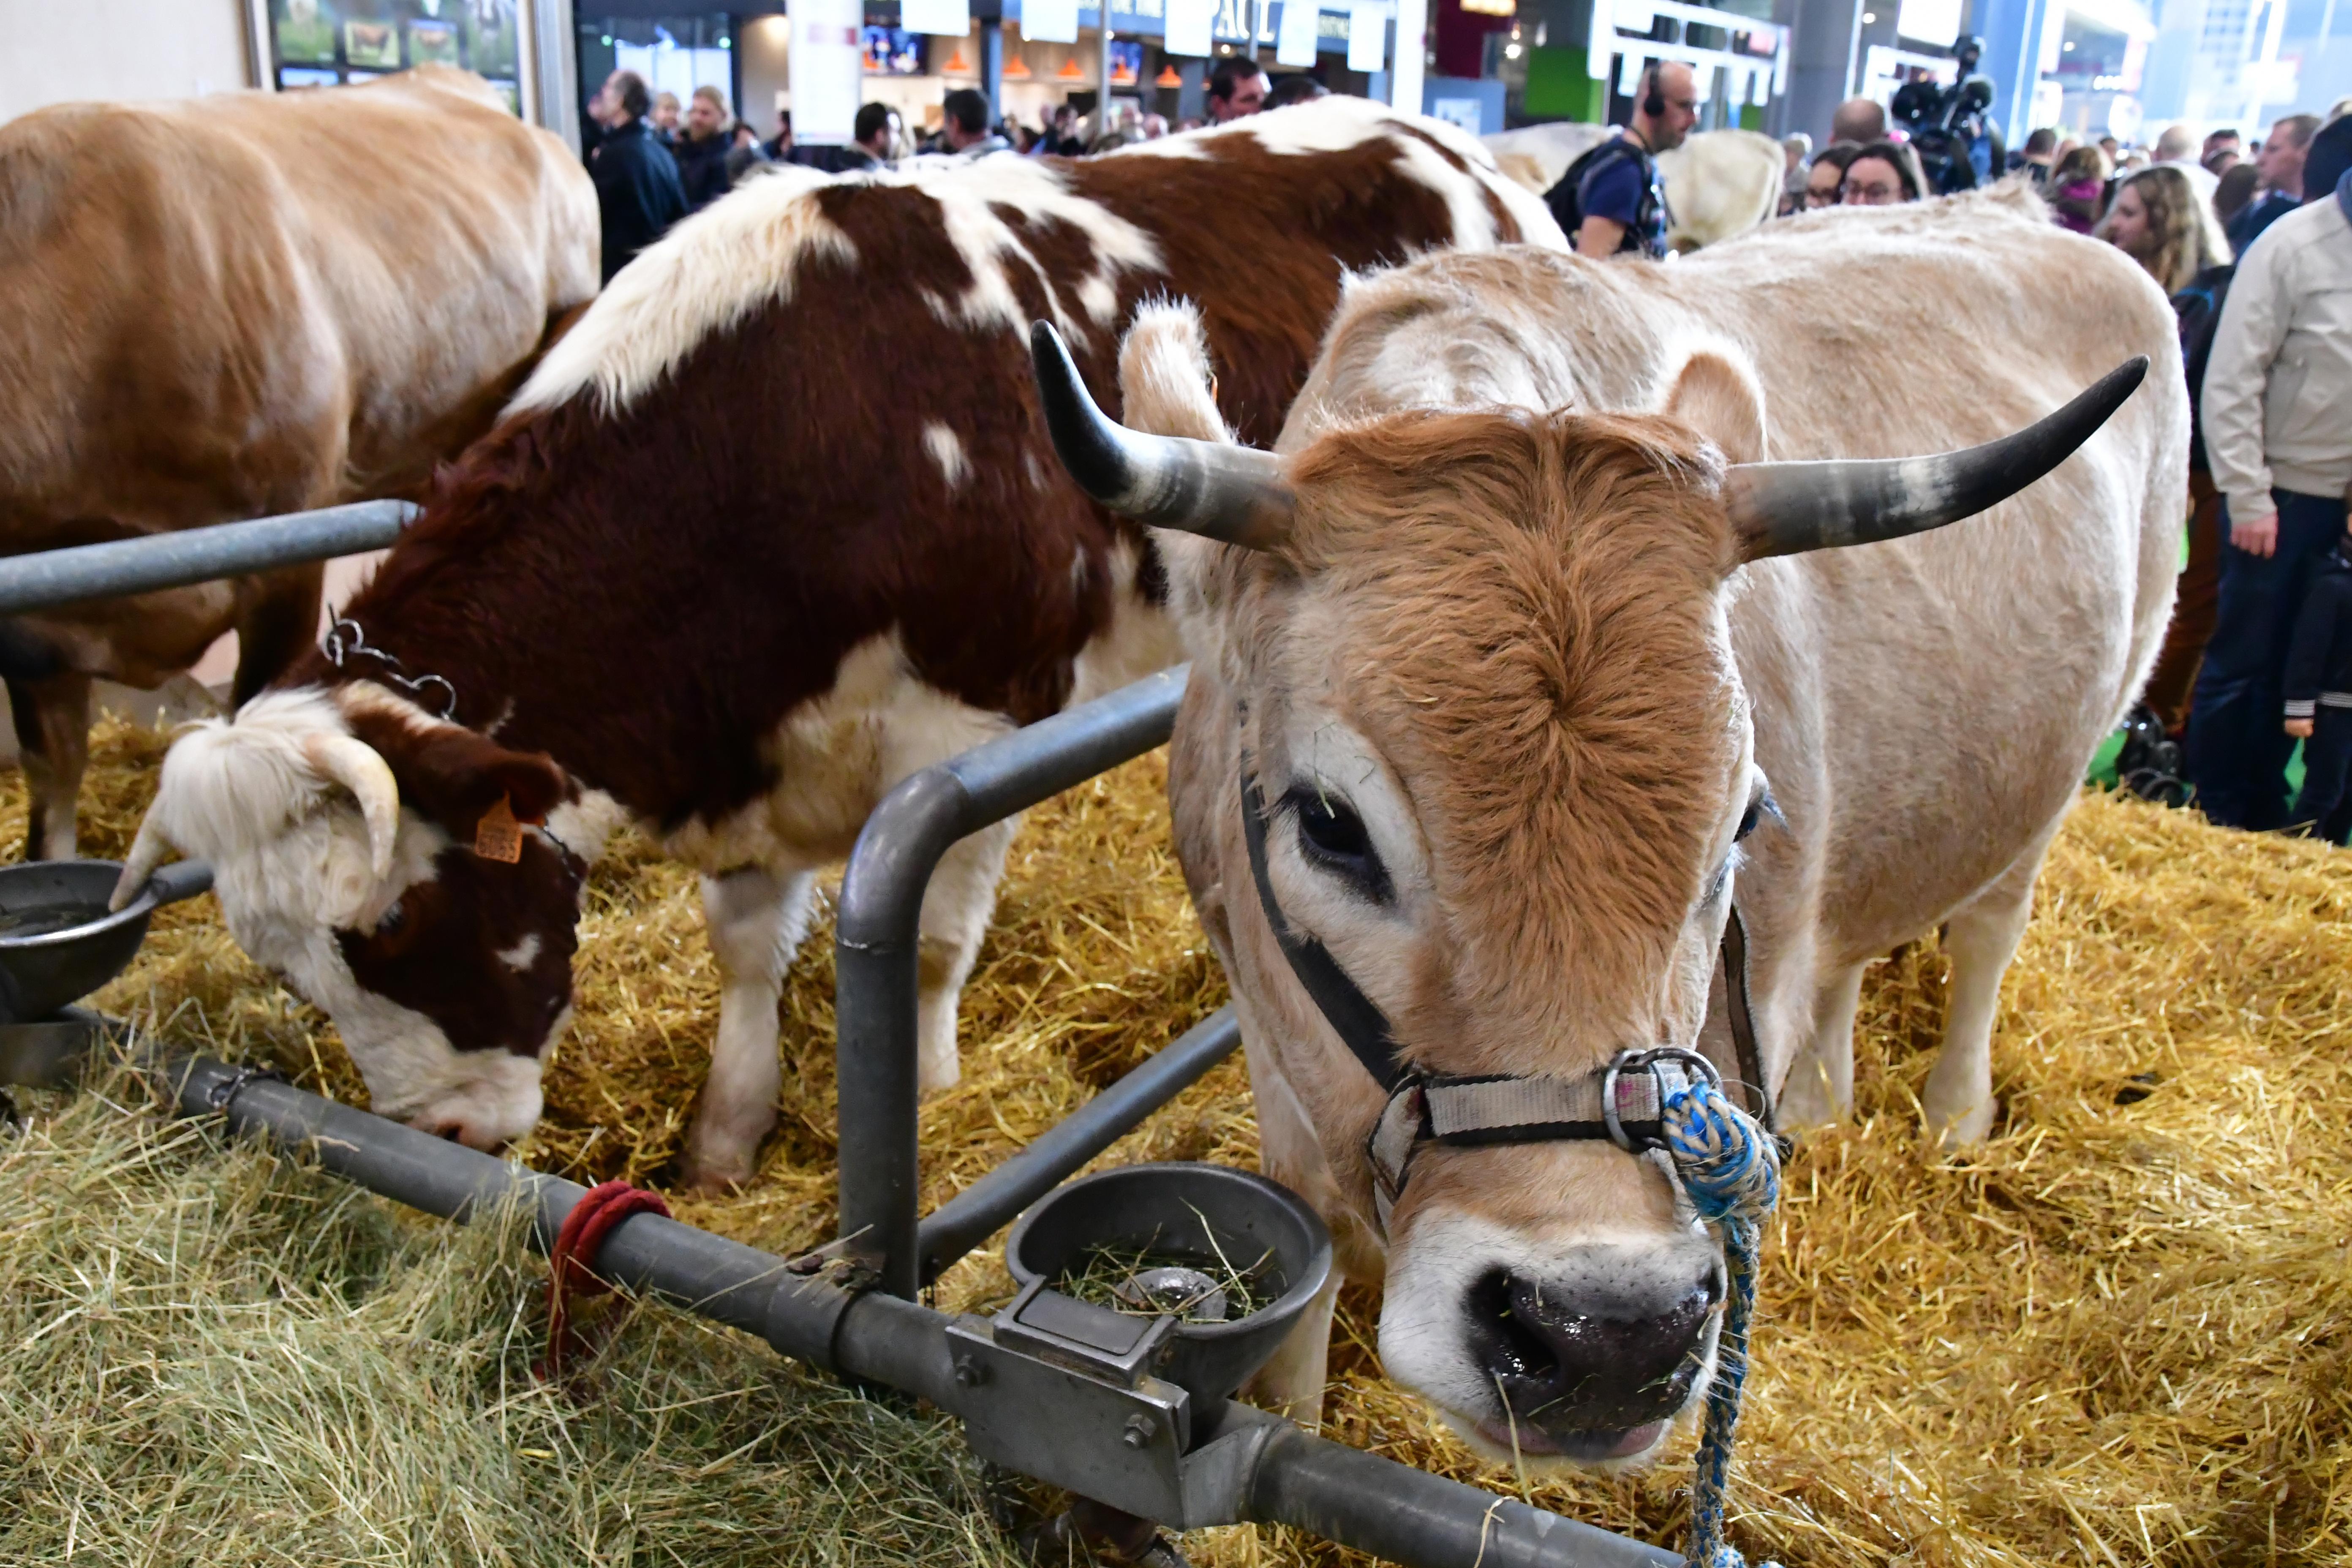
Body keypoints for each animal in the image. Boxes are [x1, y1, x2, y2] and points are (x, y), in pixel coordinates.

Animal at [110, 101, 1562, 1190]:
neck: (780, 443)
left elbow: (922, 940)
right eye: (287, 968)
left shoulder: (973, 723)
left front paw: (925, 1096)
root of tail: (1475, 153)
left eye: (399, 922)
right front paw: (726, 1135)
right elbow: (747, 951)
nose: (446, 1137)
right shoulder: (750, 746)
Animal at [1034, 190, 2183, 1467]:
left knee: (1987, 929)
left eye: (1742, 820)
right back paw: (1829, 1103)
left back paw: (1954, 1116)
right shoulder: (1274, 1046)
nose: (1605, 1336)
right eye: (1331, 824)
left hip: (2085, 736)